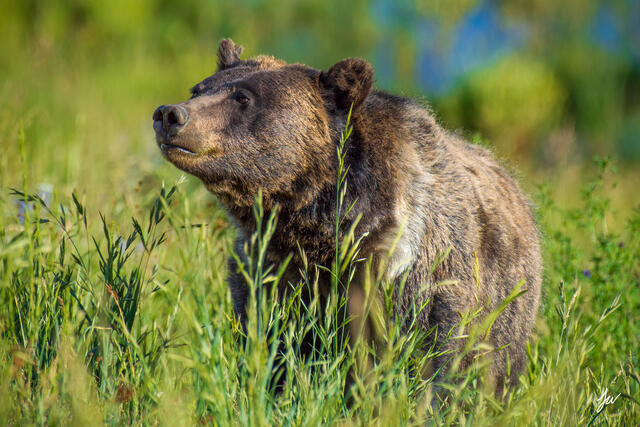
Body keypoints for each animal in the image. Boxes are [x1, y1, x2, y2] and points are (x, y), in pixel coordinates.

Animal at [152, 38, 542, 395]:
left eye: (243, 98)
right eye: (198, 88)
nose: (170, 114)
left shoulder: (416, 272)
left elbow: (433, 356)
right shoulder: (266, 268)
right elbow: (271, 343)